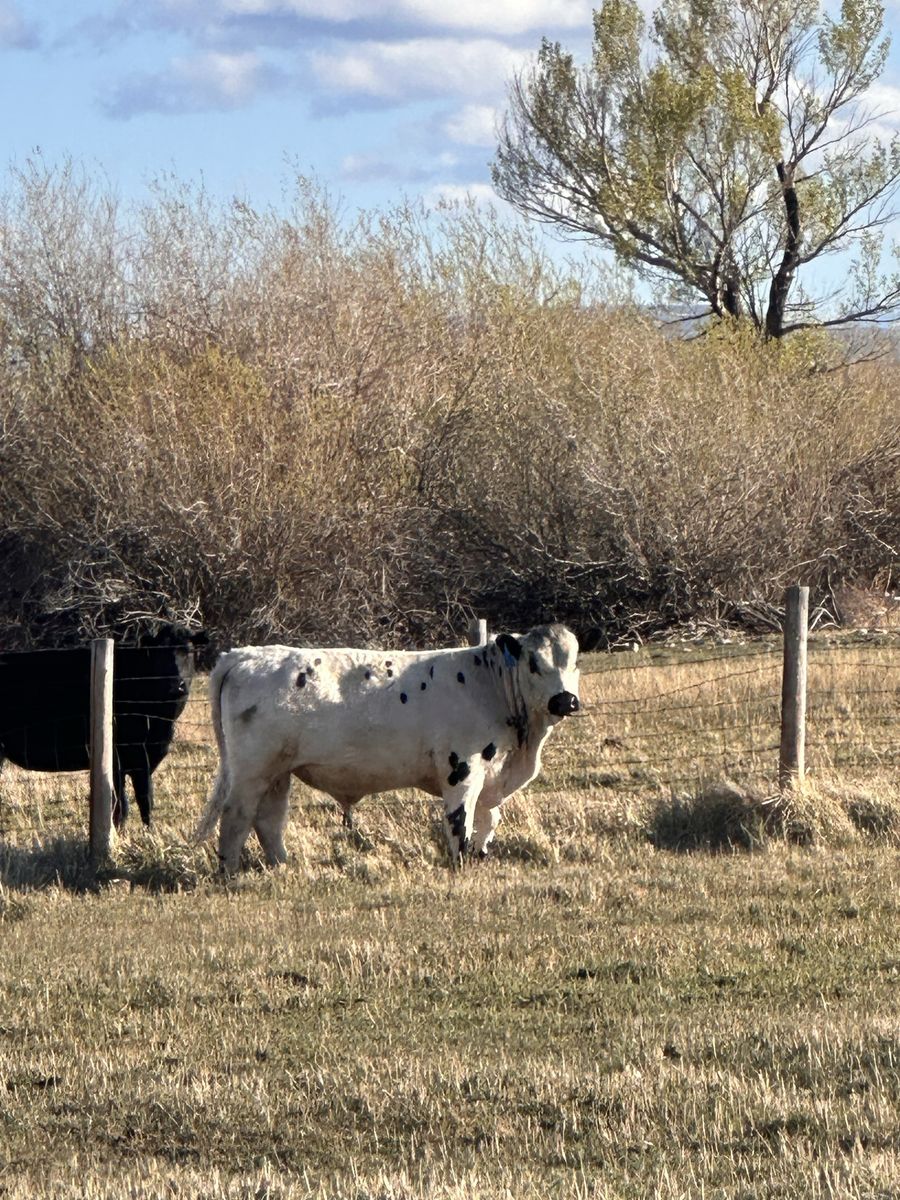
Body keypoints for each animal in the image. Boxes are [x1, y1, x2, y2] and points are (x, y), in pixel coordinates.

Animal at [0, 625, 205, 827]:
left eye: (189, 651)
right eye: (158, 654)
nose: (175, 685)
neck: (160, 722)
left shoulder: (147, 757)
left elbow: (145, 799)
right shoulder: (119, 757)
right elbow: (122, 804)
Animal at [194, 624, 580, 873]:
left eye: (575, 662)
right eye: (535, 664)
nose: (566, 700)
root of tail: (244, 654)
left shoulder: (492, 776)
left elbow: (488, 821)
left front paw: (480, 858)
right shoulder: (462, 768)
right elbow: (460, 821)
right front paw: (459, 866)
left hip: (278, 771)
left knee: (269, 819)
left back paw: (282, 867)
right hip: (251, 770)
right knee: (236, 816)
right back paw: (229, 874)